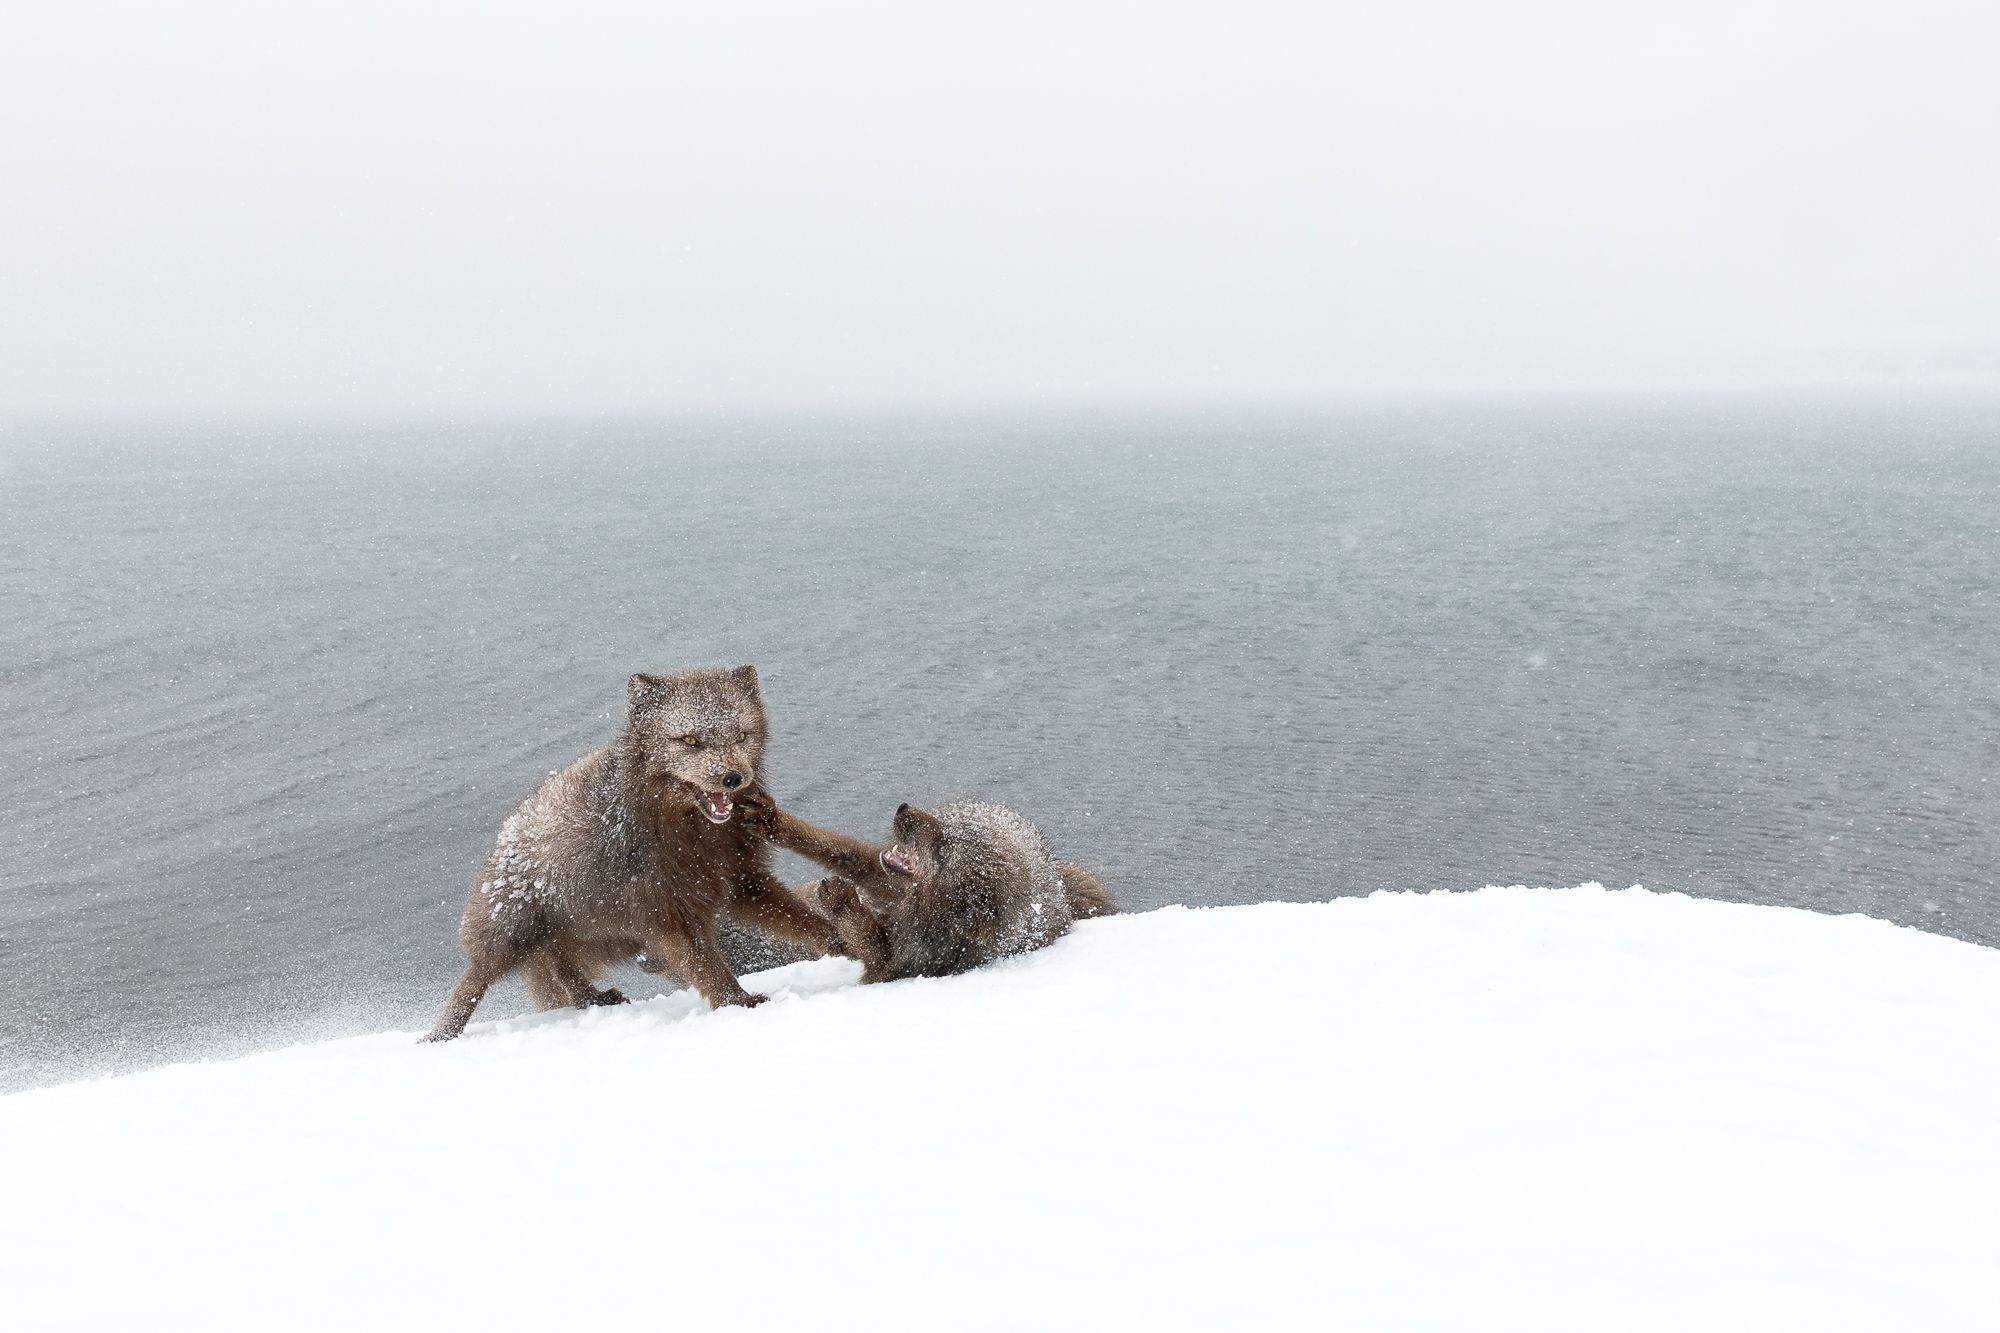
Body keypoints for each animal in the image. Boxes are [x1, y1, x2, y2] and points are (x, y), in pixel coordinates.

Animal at [424, 666, 839, 1042]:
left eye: (741, 735)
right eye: (690, 740)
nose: (733, 778)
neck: (695, 837)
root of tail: (504, 833)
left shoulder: (742, 881)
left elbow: (801, 920)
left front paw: (840, 939)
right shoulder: (666, 911)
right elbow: (705, 964)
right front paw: (739, 1003)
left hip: (588, 933)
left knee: (562, 967)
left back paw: (595, 998)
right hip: (512, 934)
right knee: (472, 983)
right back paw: (439, 1035)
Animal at [741, 796, 1114, 983]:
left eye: (943, 848)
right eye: (945, 826)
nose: (903, 807)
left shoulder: (906, 963)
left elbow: (872, 950)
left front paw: (843, 905)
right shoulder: (885, 880)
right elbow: (837, 849)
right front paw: (774, 820)